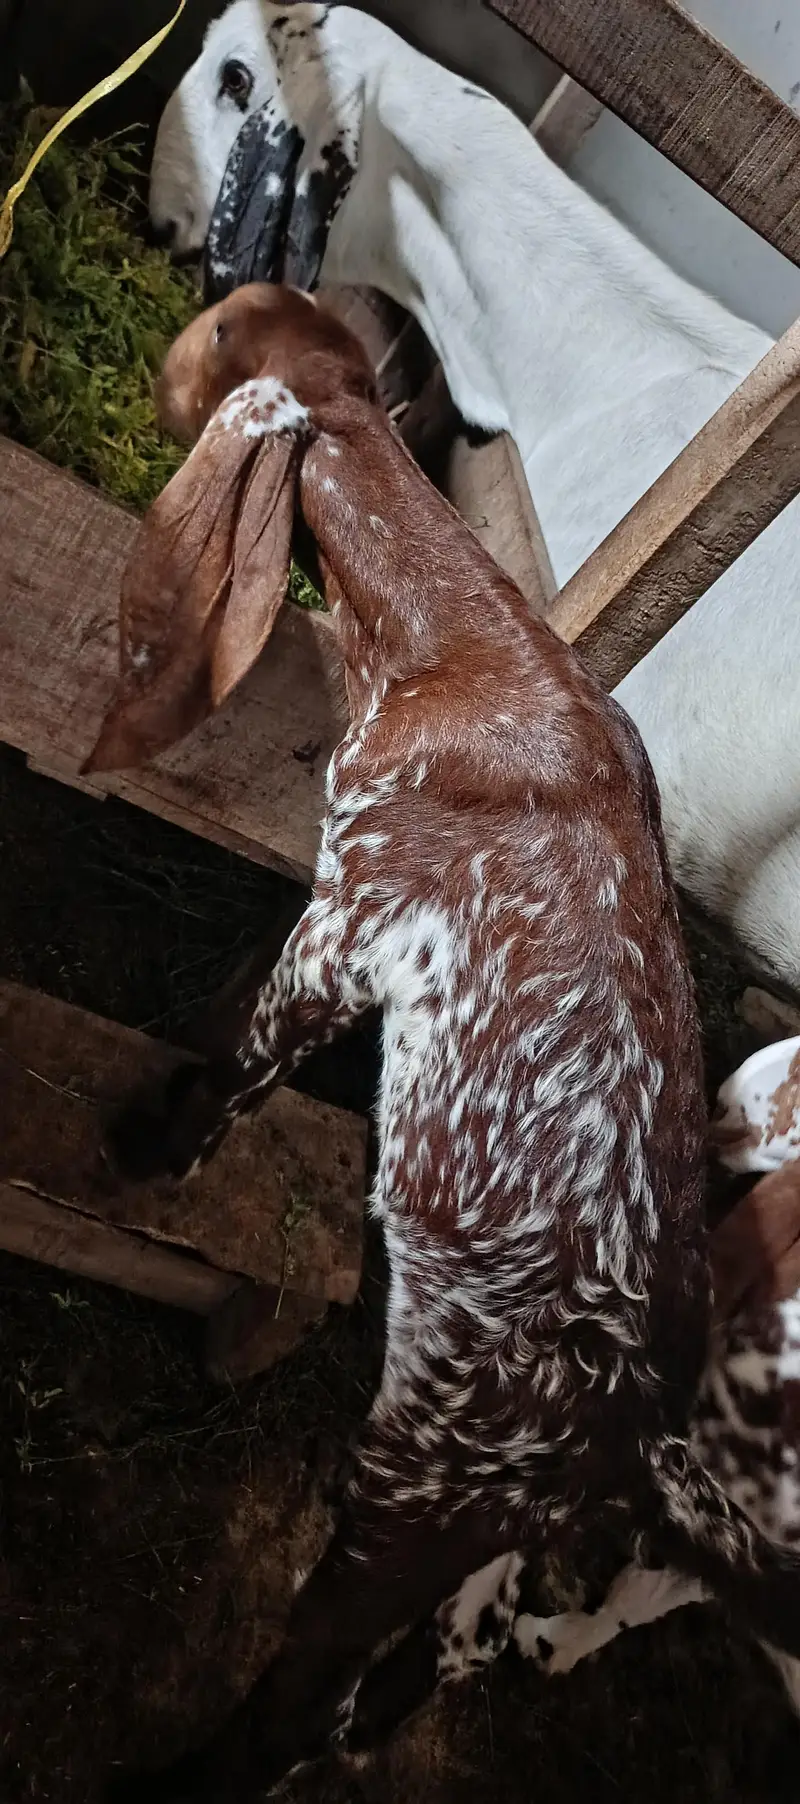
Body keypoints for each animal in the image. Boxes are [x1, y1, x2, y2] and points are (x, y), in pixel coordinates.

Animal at [91, 283, 800, 1799]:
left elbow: (248, 1064)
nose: (166, 364)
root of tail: (626, 1446)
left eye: (210, 341)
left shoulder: (361, 910)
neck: (461, 649)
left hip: (422, 1481)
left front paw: (149, 1151)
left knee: (298, 1700)